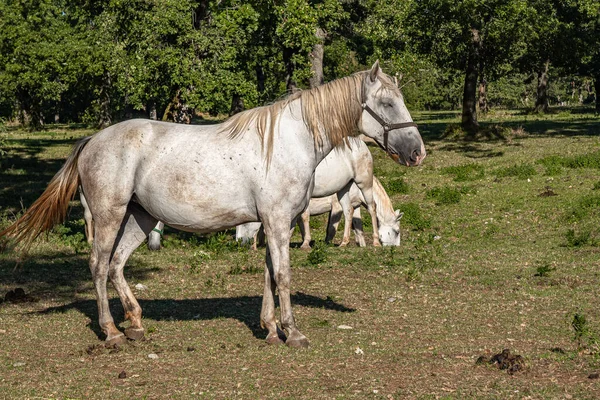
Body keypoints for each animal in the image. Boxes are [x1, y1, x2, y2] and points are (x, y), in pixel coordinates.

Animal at [0, 61, 426, 346]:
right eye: (387, 104)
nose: (417, 152)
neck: (289, 141)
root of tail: (93, 140)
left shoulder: (279, 222)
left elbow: (269, 275)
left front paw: (270, 329)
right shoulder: (276, 221)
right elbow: (283, 275)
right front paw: (292, 332)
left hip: (140, 219)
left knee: (117, 265)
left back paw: (134, 324)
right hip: (109, 215)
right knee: (99, 265)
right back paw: (110, 331)